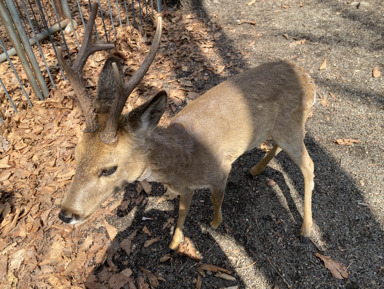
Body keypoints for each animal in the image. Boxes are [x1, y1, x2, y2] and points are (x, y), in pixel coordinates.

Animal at [58, 1, 316, 250]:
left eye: (109, 168)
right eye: (76, 155)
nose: (66, 214)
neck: (181, 160)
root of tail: (309, 80)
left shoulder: (221, 170)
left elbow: (213, 201)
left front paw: (212, 224)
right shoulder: (185, 187)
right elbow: (182, 209)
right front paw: (174, 234)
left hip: (291, 124)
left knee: (309, 165)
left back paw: (305, 230)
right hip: (283, 128)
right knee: (281, 146)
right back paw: (255, 170)